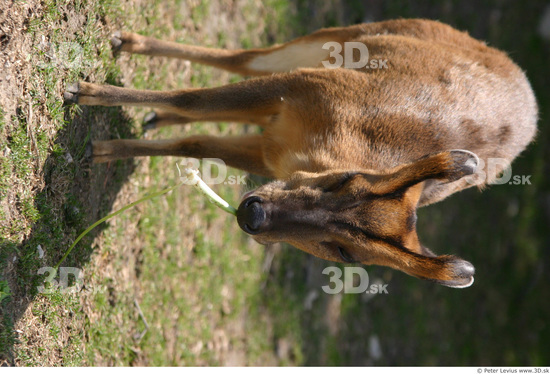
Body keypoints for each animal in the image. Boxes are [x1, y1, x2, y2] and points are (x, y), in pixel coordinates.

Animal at [62, 19, 536, 290]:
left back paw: (151, 115)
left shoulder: (268, 152)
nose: (254, 213)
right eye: (345, 181)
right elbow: (193, 98)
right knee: (243, 57)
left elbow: (194, 142)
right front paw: (82, 91)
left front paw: (102, 149)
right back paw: (125, 42)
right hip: (332, 41)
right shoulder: (301, 87)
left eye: (345, 254)